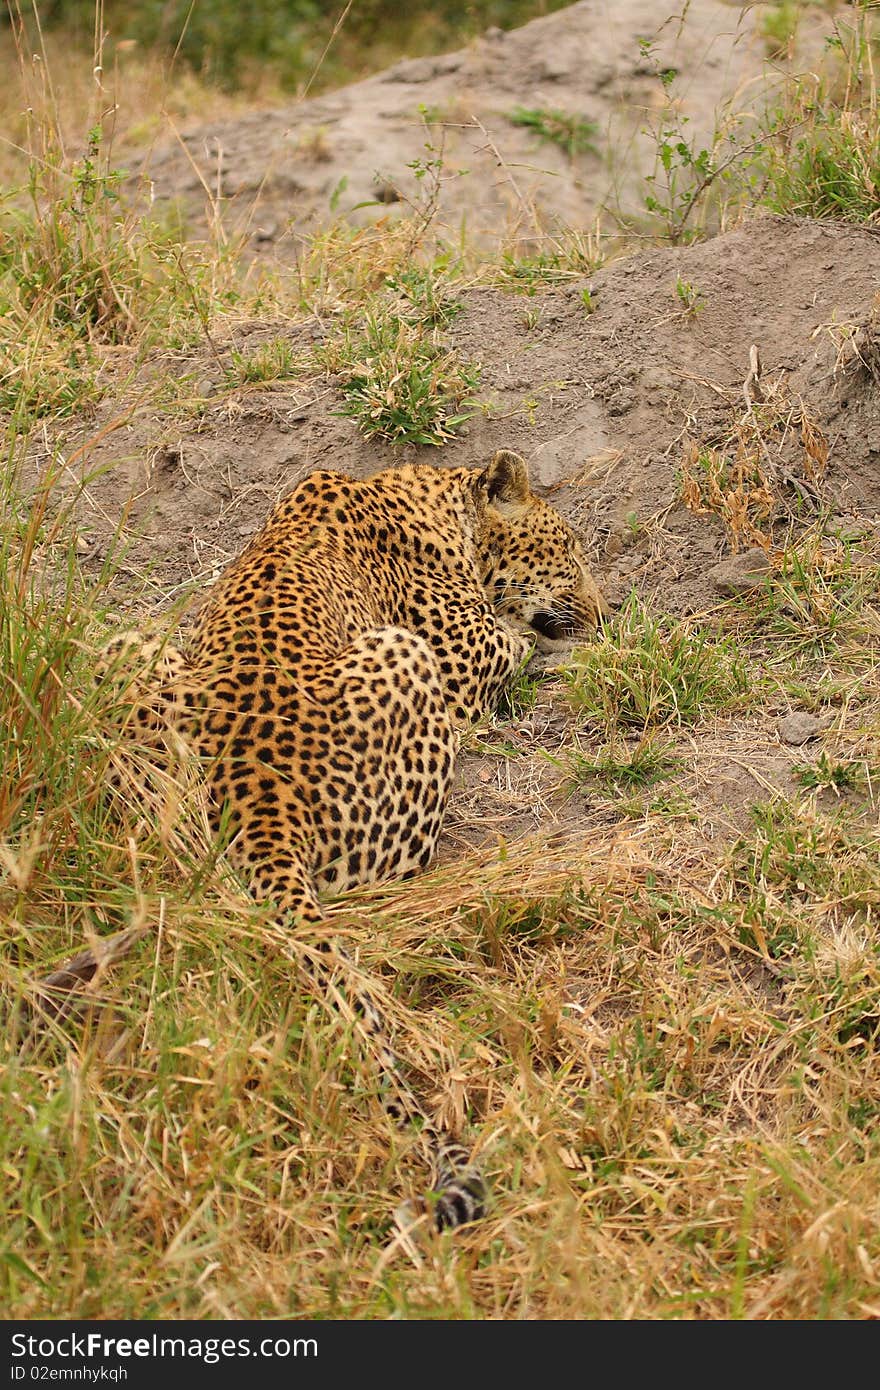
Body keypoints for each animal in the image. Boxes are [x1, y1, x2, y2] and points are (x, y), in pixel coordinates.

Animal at [99, 450, 600, 1234]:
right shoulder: (470, 654)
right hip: (404, 656)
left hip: (130, 653)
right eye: (568, 551)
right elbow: (523, 643)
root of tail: (257, 792)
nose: (603, 613)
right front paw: (570, 651)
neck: (431, 502)